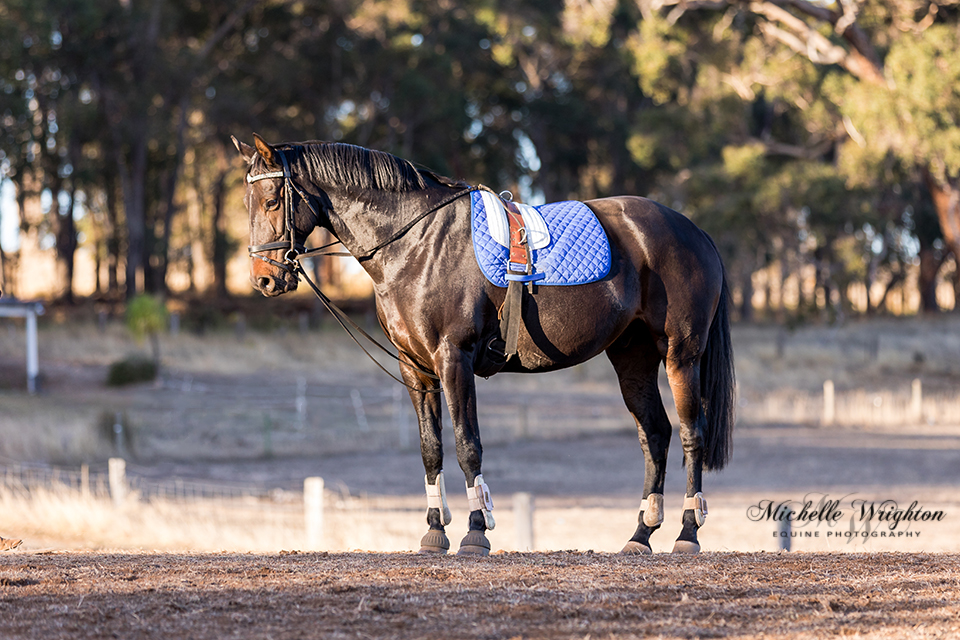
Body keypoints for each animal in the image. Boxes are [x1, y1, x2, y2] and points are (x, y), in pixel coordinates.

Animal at [232, 135, 736, 556]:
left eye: (272, 200)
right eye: (247, 201)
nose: (264, 279)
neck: (417, 243)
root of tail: (693, 231)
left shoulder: (453, 358)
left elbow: (466, 445)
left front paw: (476, 532)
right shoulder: (416, 368)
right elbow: (431, 449)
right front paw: (434, 531)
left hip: (681, 355)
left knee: (691, 434)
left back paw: (687, 533)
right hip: (632, 358)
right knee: (655, 434)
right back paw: (640, 535)